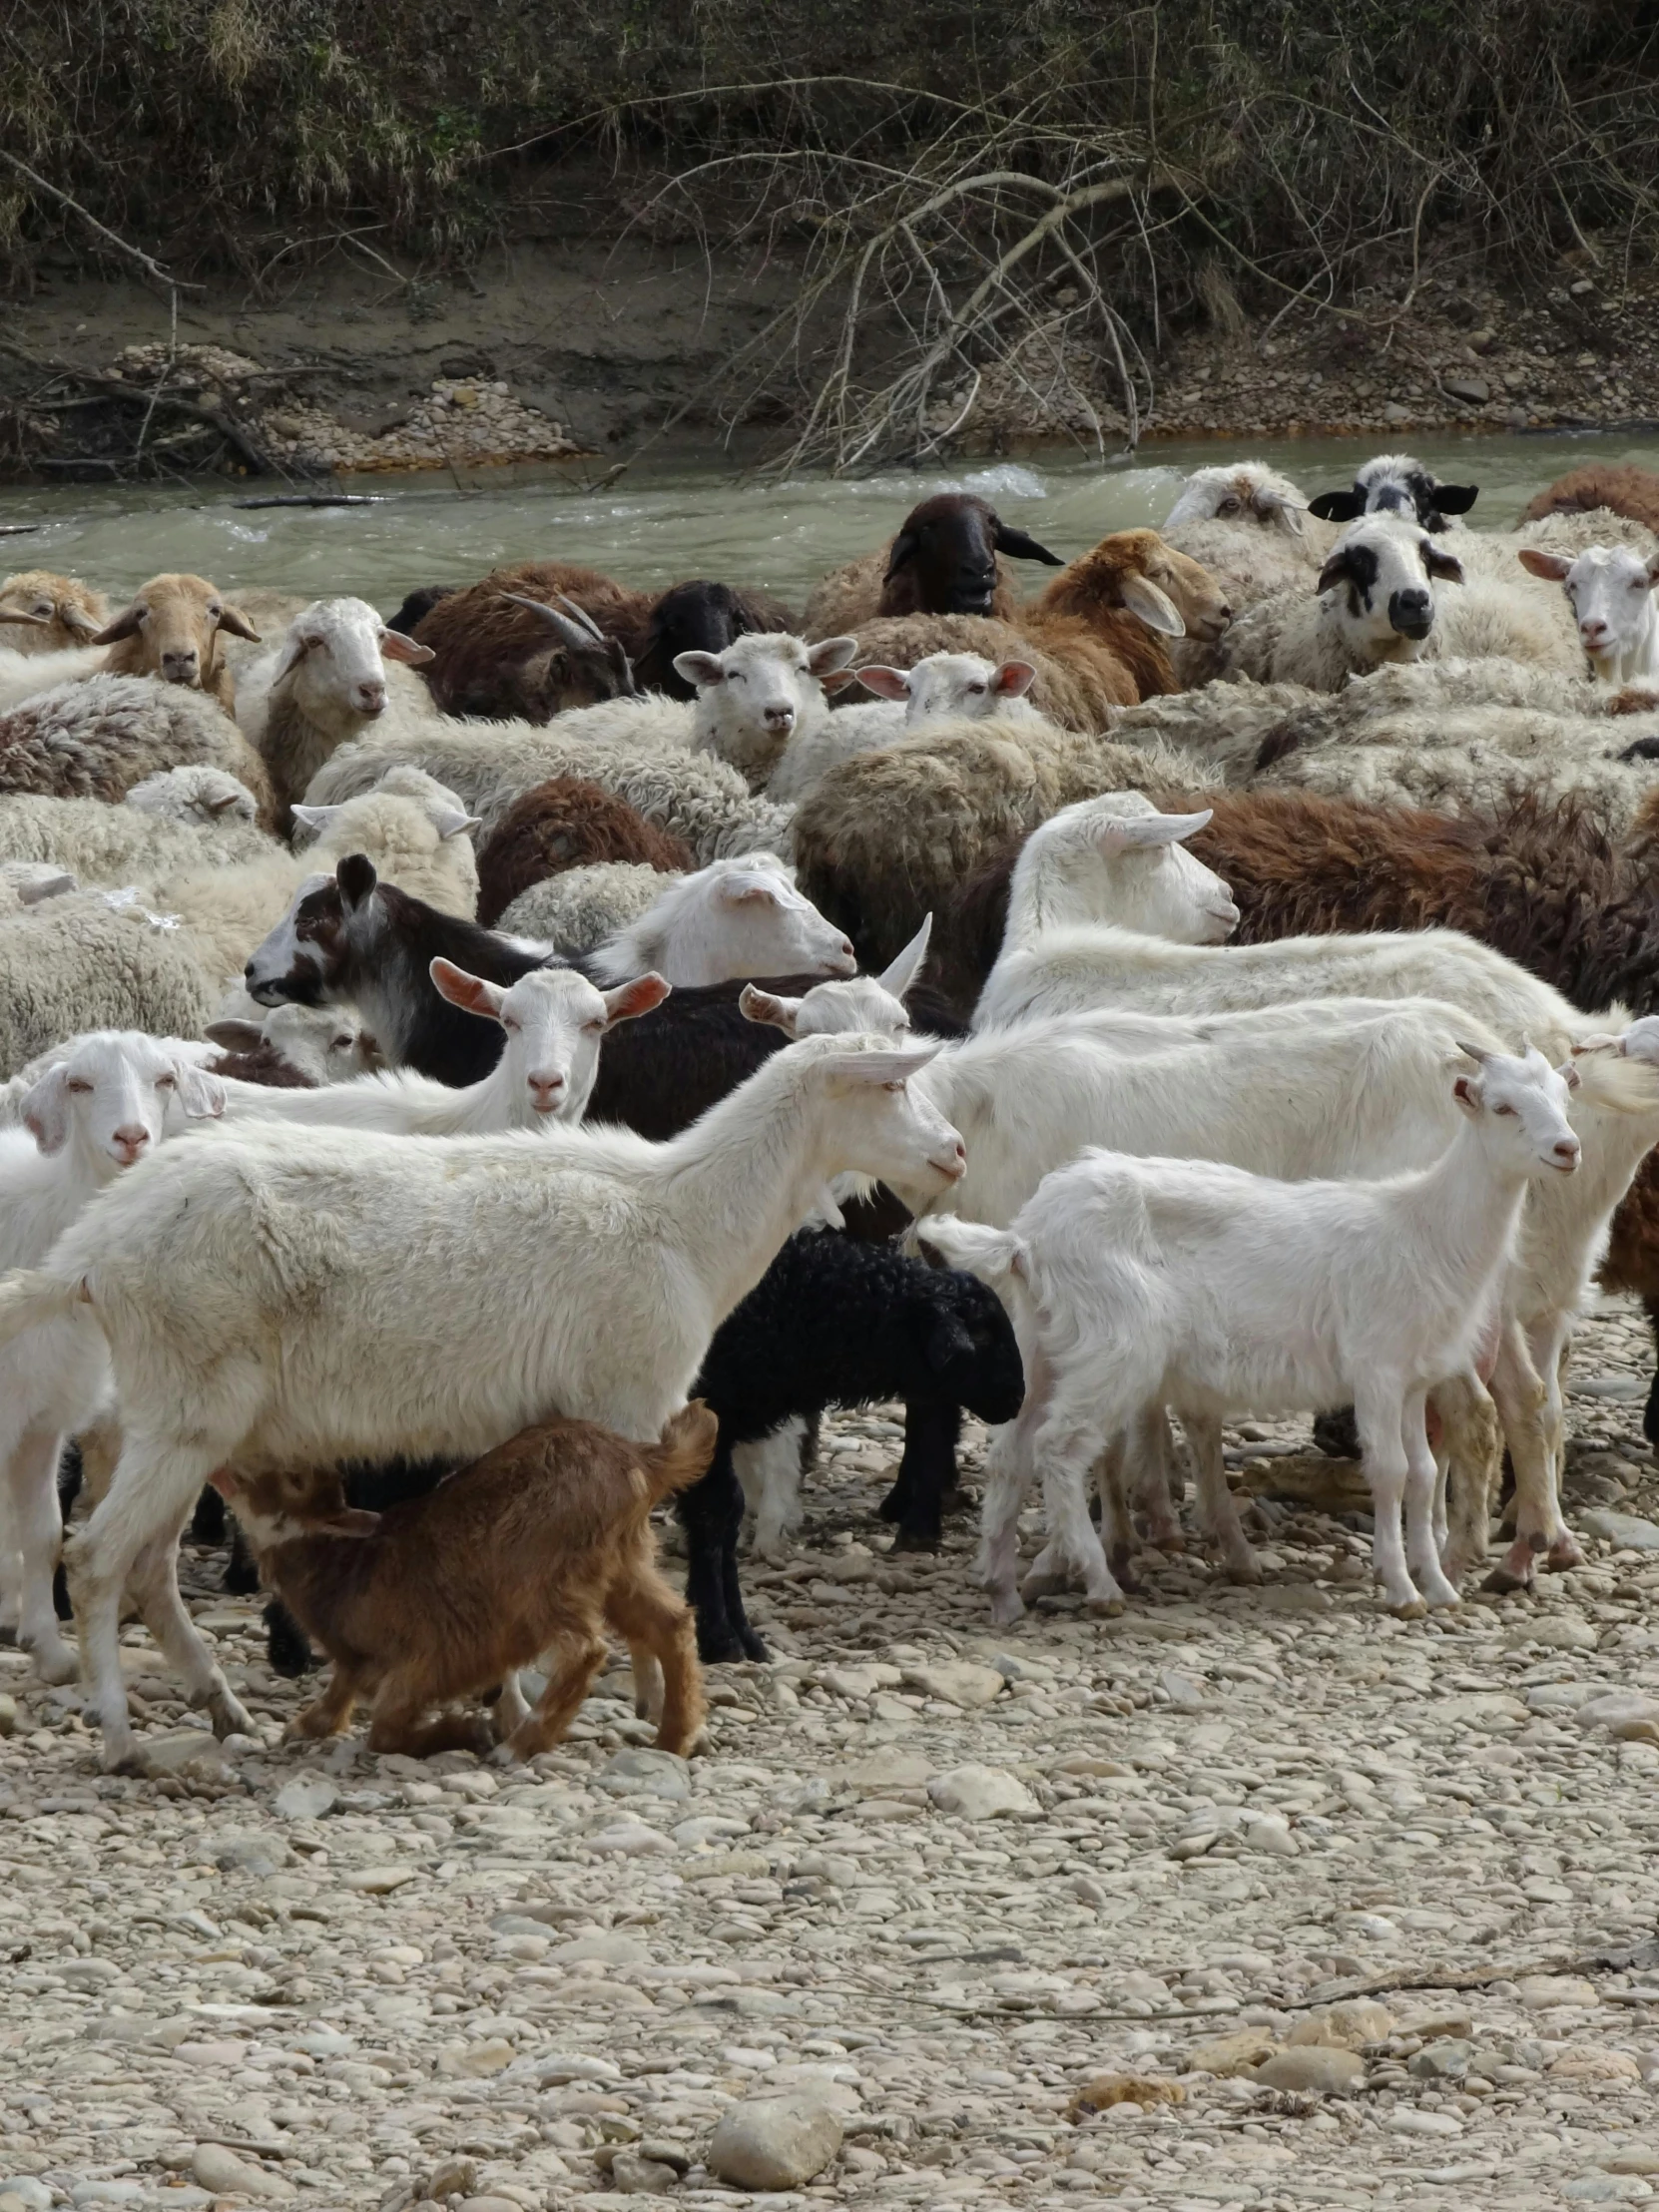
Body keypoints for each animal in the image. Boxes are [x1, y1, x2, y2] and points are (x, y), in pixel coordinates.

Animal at [0, 1026, 968, 1769]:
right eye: (892, 1086)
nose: (955, 1151)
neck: (687, 1216)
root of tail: (91, 1249)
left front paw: (549, 1697)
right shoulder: (626, 1400)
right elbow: (632, 1556)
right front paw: (636, 1696)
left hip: (184, 1414)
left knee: (149, 1567)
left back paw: (220, 1706)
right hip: (188, 1402)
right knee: (96, 1560)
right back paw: (119, 1736)